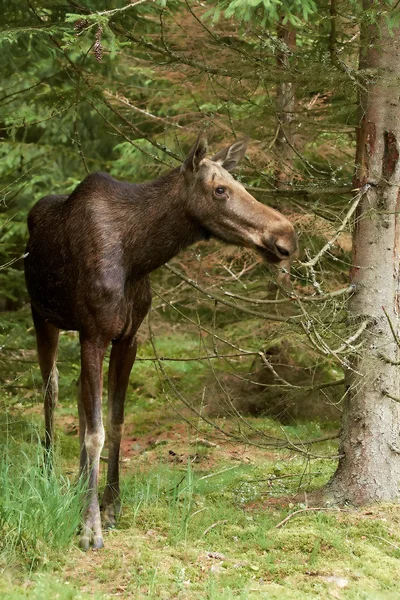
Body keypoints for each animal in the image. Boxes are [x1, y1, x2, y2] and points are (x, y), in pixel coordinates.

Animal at [24, 135, 296, 548]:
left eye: (239, 184)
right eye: (220, 189)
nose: (287, 236)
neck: (139, 256)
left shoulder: (127, 338)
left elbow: (114, 423)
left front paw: (111, 507)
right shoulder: (94, 333)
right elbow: (95, 433)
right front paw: (90, 527)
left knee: (77, 394)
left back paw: (78, 484)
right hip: (43, 317)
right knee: (51, 391)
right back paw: (48, 473)